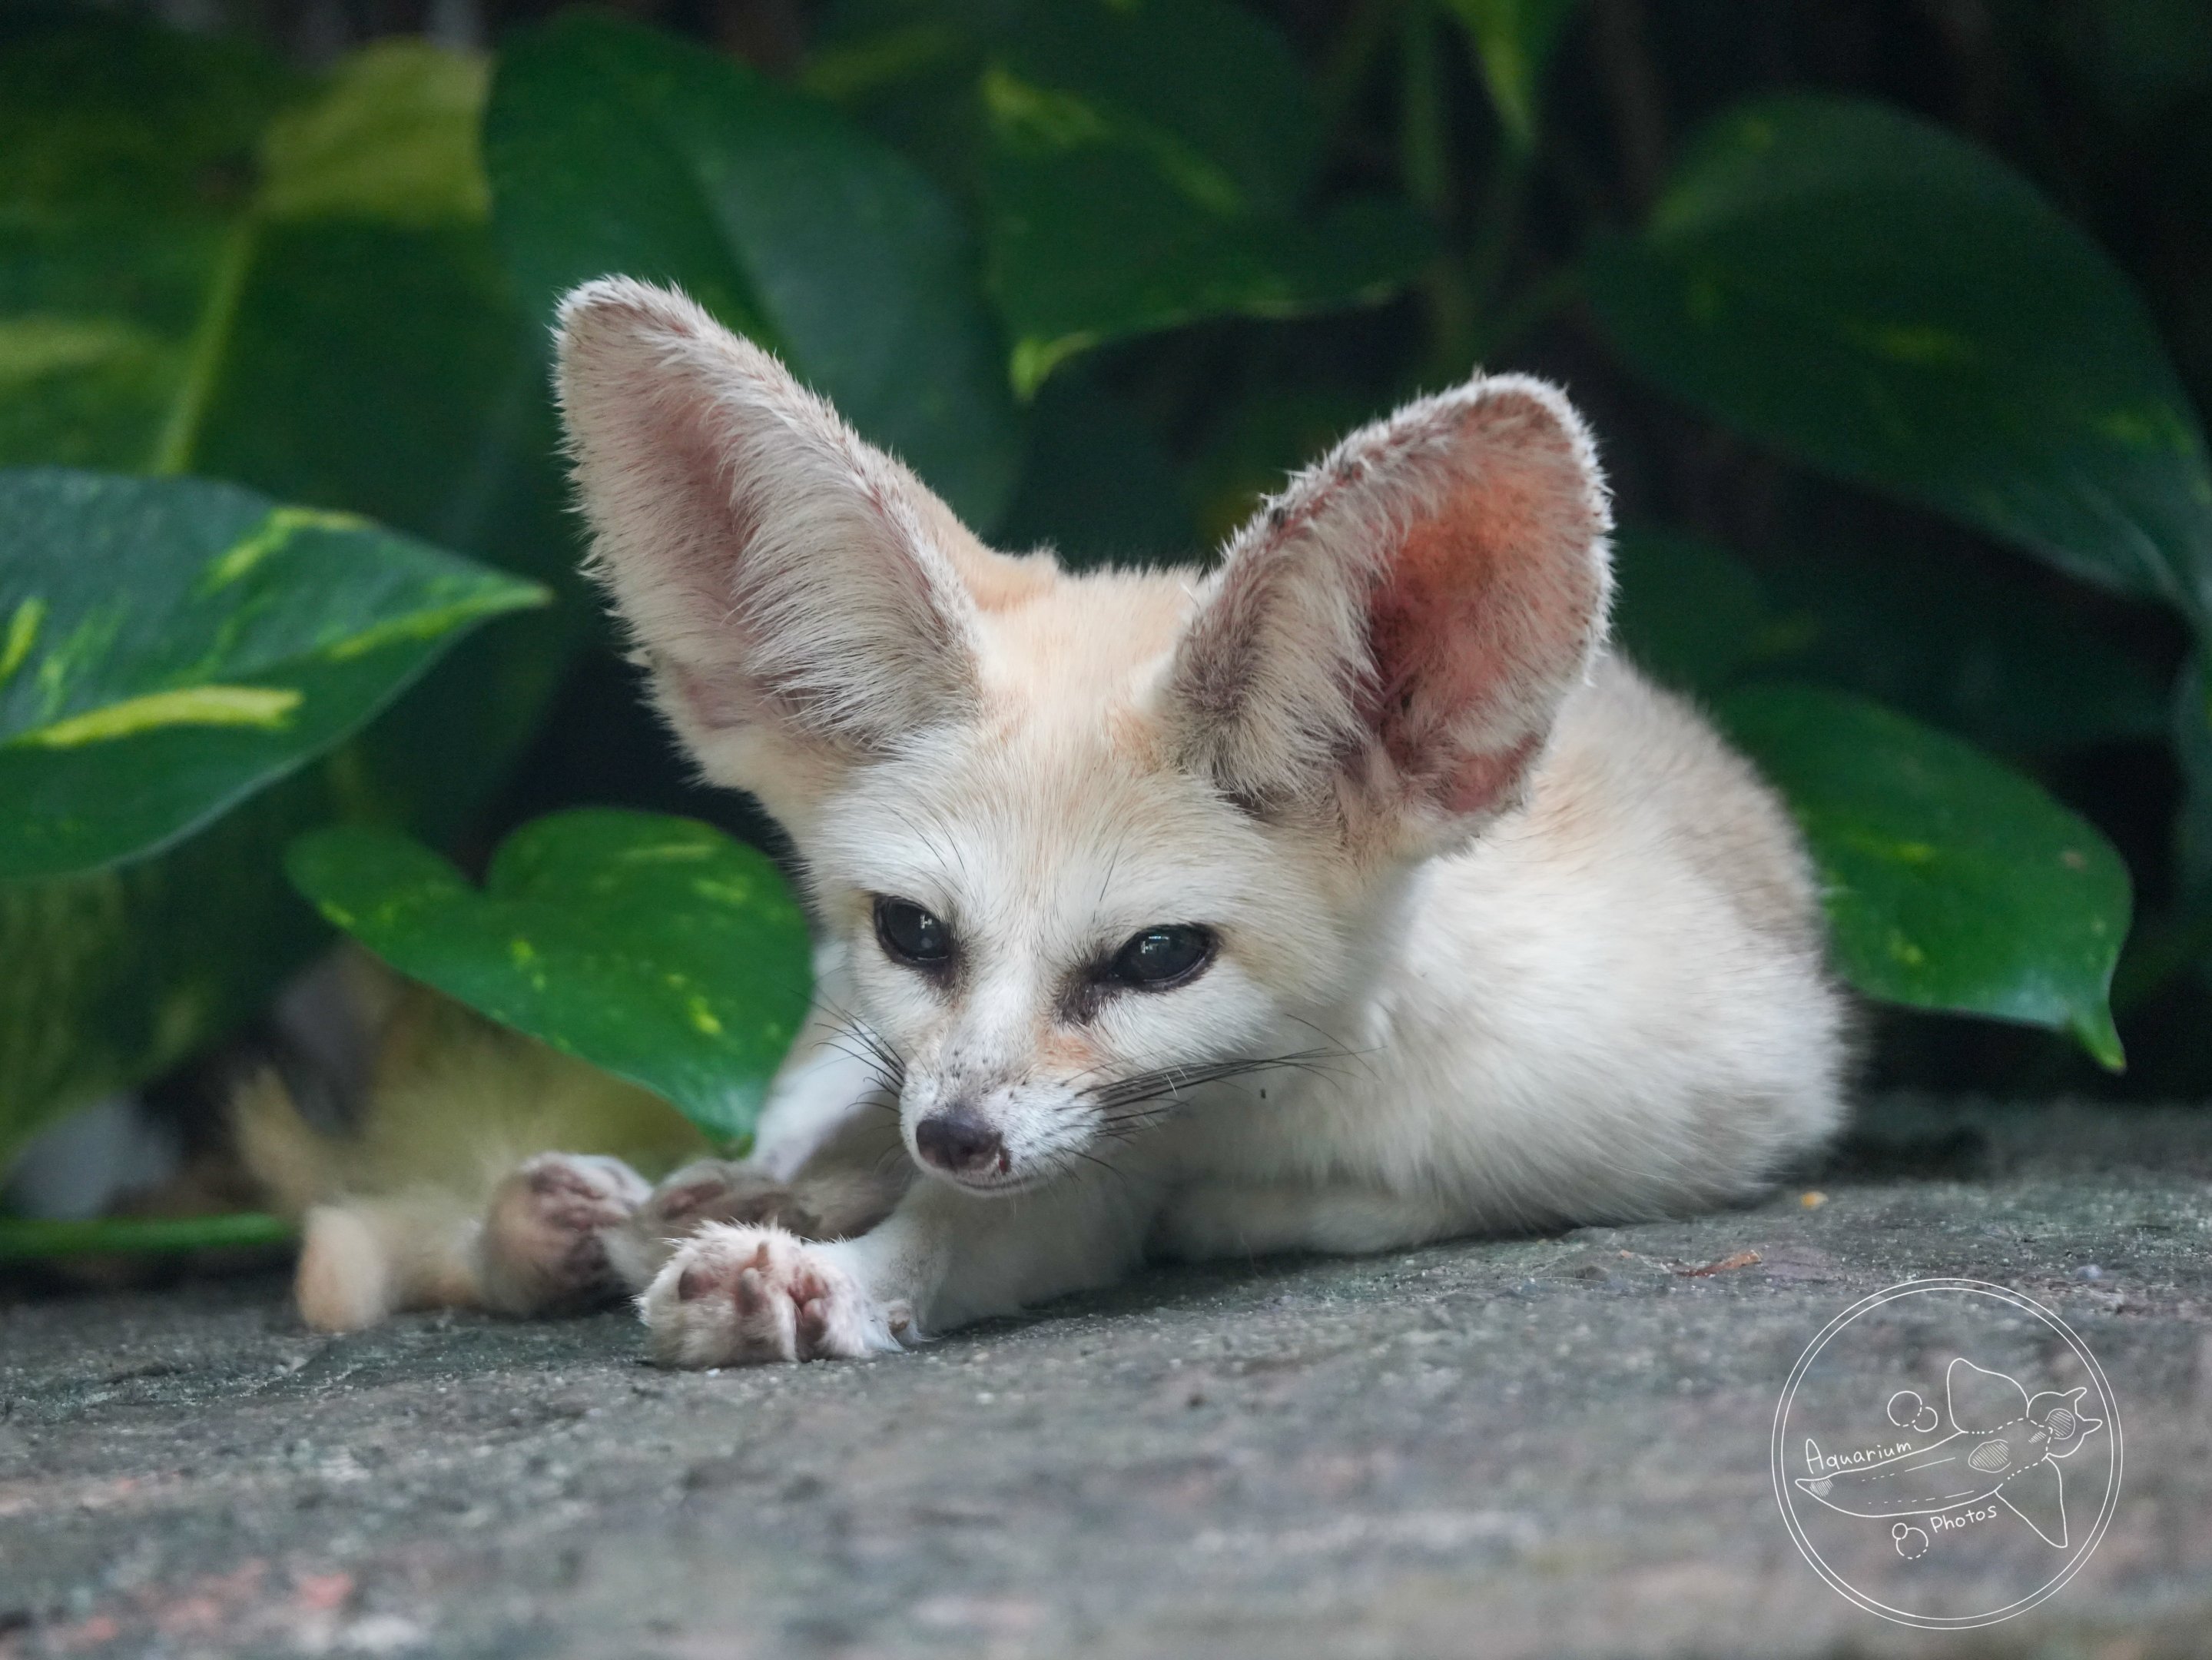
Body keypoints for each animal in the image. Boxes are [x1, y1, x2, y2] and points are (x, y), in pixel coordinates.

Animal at [238, 276, 1847, 1365]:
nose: (951, 1133)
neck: (1274, 1105)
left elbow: (1025, 1222)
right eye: (911, 931)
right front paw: (781, 1244)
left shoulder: (1703, 1097)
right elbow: (948, 1215)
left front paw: (829, 1266)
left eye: (1157, 960)